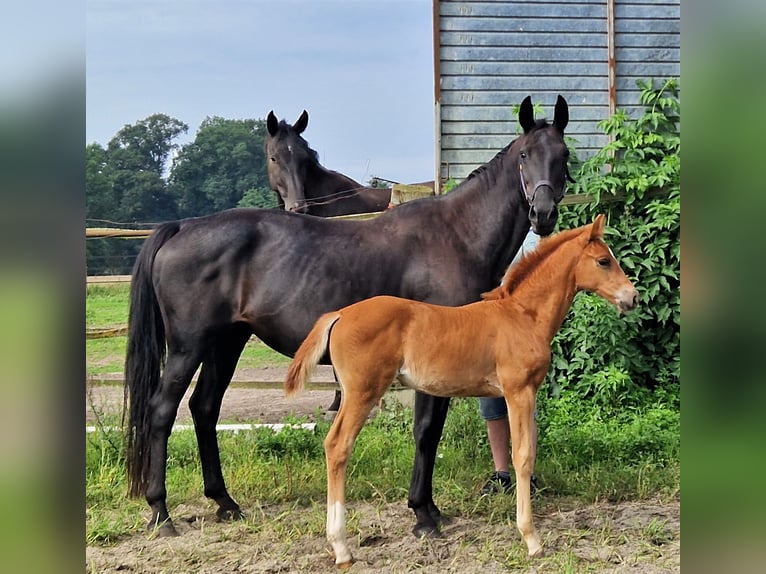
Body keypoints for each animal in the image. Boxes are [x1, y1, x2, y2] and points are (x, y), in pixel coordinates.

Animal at [123, 95, 573, 538]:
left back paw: (225, 502)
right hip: (189, 347)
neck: (456, 235)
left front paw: (427, 508)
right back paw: (160, 512)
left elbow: (429, 431)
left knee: (204, 408)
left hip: (226, 342)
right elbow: (427, 430)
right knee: (162, 411)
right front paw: (423, 514)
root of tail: (182, 226)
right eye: (525, 155)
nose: (543, 213)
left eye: (563, 154)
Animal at [285, 214, 639, 566]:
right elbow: (522, 456)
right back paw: (342, 548)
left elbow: (528, 453)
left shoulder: (525, 394)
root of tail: (340, 313)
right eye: (604, 261)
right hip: (362, 392)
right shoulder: (518, 391)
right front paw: (531, 539)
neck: (523, 316)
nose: (632, 297)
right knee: (337, 446)